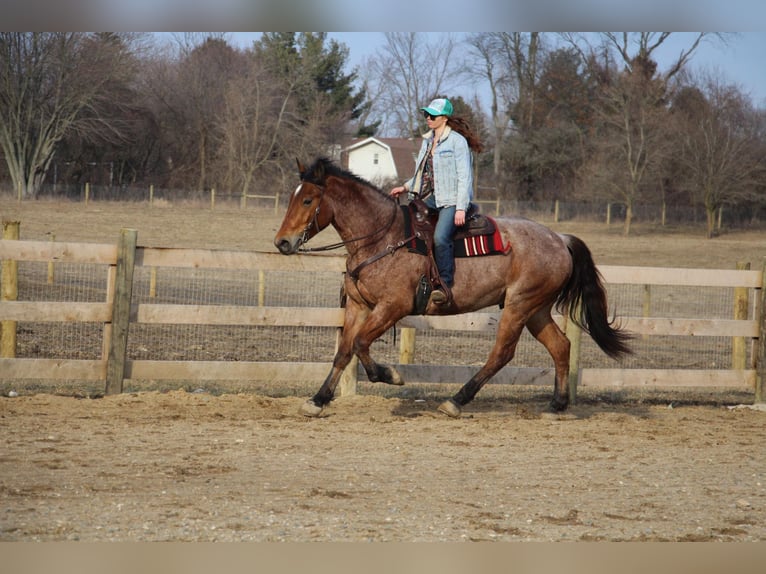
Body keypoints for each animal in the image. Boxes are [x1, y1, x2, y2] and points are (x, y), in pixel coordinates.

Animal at [272, 158, 632, 418]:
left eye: (307, 199)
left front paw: (391, 375)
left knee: (501, 354)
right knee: (560, 346)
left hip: (520, 306)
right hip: (536, 309)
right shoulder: (358, 306)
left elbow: (361, 344)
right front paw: (318, 400)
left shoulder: (393, 307)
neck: (382, 238)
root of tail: (559, 238)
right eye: (292, 197)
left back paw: (456, 401)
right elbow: (344, 352)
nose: (282, 242)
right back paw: (557, 405)